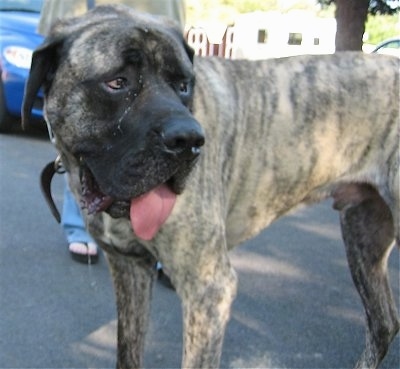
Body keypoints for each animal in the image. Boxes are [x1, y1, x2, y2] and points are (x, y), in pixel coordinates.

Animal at [22, 3, 400, 368]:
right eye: (117, 82)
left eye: (184, 85)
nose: (189, 140)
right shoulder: (130, 268)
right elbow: (127, 352)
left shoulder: (208, 289)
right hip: (363, 234)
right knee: (384, 322)